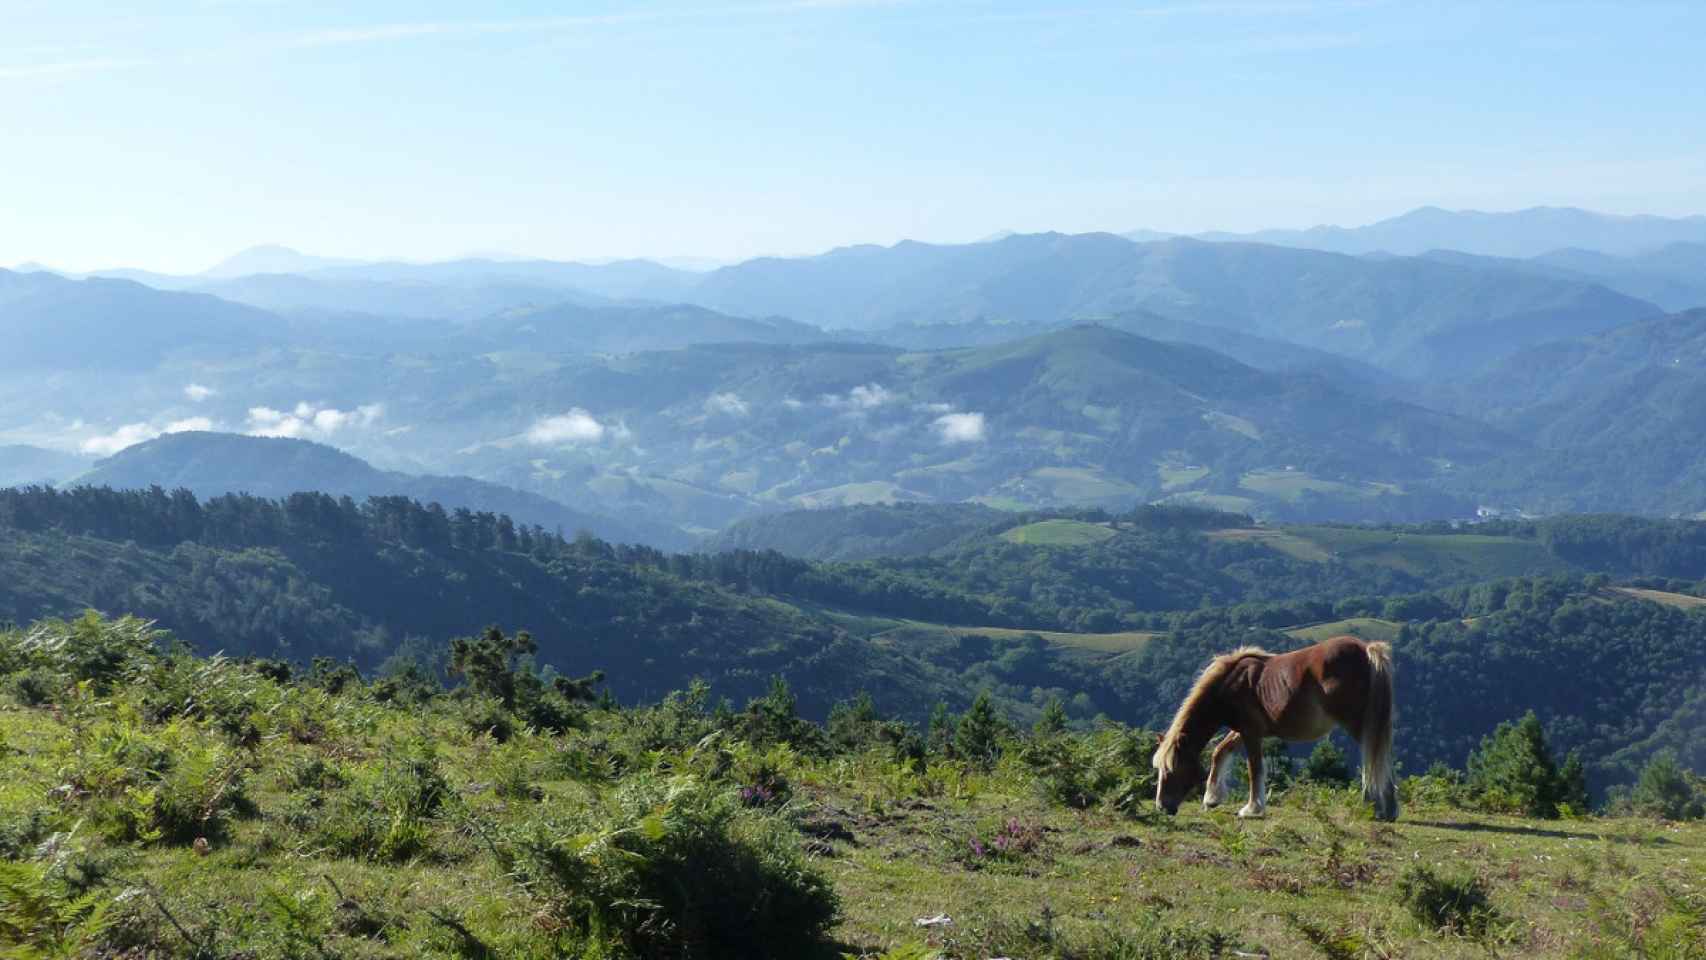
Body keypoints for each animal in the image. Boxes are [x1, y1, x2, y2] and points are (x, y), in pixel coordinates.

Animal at [1146, 634, 1398, 821]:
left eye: (1171, 769)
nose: (1162, 807)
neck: (1230, 684)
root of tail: (1366, 650)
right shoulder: (1243, 730)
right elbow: (1220, 752)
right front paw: (1212, 798)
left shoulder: (1251, 732)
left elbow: (1254, 769)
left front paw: (1252, 809)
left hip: (1359, 723)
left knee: (1374, 759)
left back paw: (1378, 809)